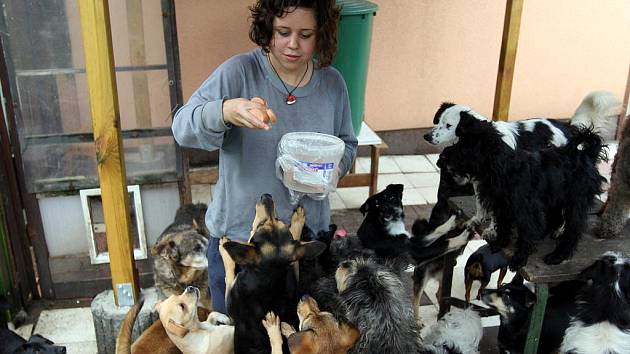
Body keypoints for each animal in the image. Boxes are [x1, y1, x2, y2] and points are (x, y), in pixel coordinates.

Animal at [221, 194, 326, 354]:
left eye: (260, 225)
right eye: (279, 219)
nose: (267, 196)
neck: (269, 275)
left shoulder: (230, 304)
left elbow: (229, 273)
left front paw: (223, 249)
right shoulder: (292, 272)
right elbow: (296, 250)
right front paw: (298, 220)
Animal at [424, 91, 624, 228]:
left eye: (448, 125)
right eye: (437, 121)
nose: (426, 136)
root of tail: (568, 127)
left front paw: (493, 230)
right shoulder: (480, 182)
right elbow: (480, 204)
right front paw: (477, 220)